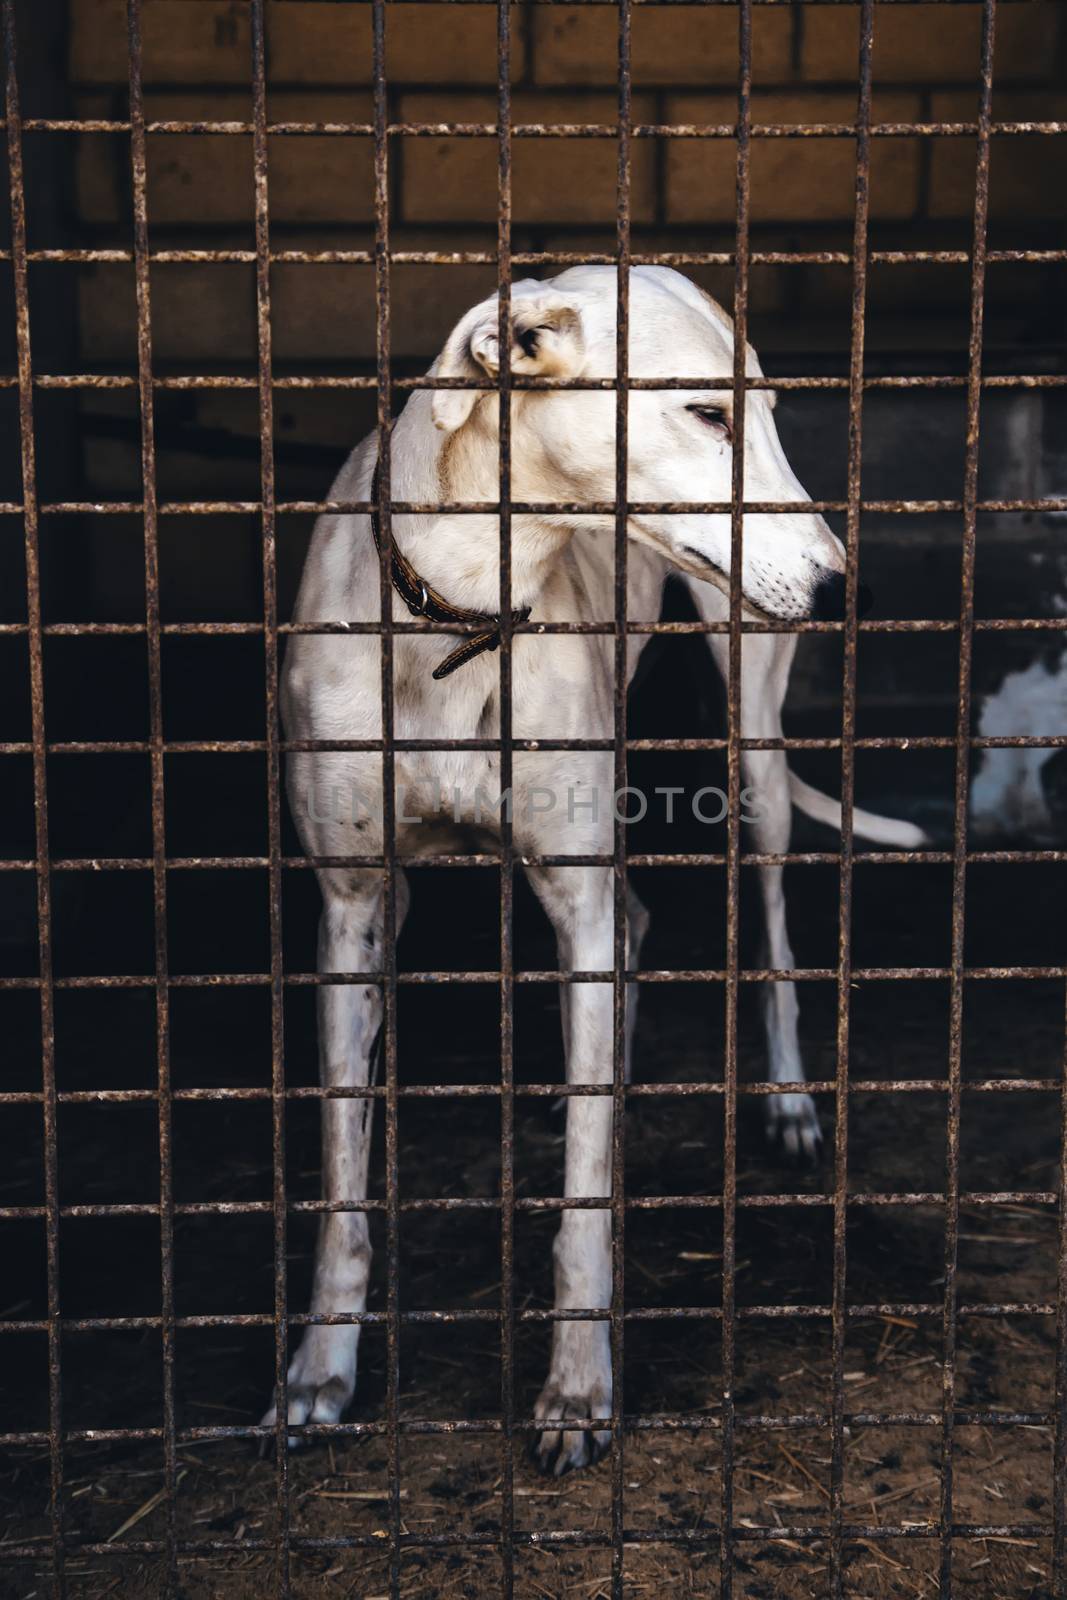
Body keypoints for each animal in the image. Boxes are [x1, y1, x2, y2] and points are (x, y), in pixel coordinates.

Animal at [262, 265, 921, 1472]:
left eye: (768, 412)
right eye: (706, 413)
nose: (842, 586)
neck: (466, 607)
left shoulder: (570, 892)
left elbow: (580, 1199)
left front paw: (577, 1387)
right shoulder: (351, 907)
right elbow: (342, 1180)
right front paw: (318, 1370)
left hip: (751, 744)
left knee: (764, 910)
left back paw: (787, 1098)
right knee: (636, 928)